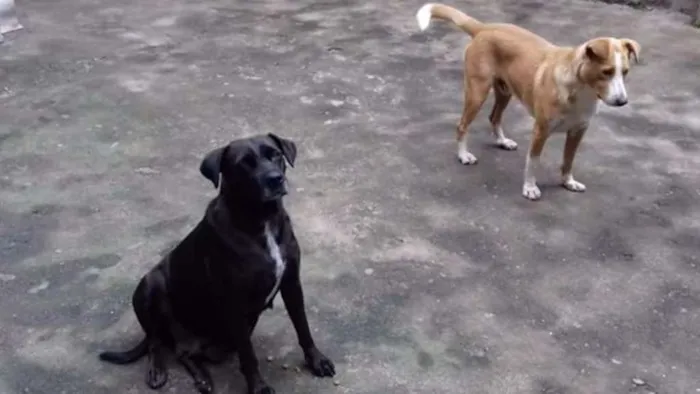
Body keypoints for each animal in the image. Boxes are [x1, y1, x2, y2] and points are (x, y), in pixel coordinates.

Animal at [98, 134, 336, 392]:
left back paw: (203, 378)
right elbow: (248, 355)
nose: (275, 179)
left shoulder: (292, 283)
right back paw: (157, 369)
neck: (262, 219)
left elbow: (303, 327)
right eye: (244, 163)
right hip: (149, 285)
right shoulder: (236, 303)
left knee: (183, 352)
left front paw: (317, 360)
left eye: (275, 154)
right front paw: (258, 387)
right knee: (155, 340)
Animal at [416, 2, 640, 200]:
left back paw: (502, 141)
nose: (622, 101)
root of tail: (484, 27)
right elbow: (533, 161)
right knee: (462, 125)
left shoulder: (578, 131)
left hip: (504, 91)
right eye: (606, 72)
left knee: (494, 117)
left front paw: (568, 182)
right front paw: (530, 188)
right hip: (477, 92)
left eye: (625, 72)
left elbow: (568, 160)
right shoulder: (541, 130)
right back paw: (464, 155)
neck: (581, 90)